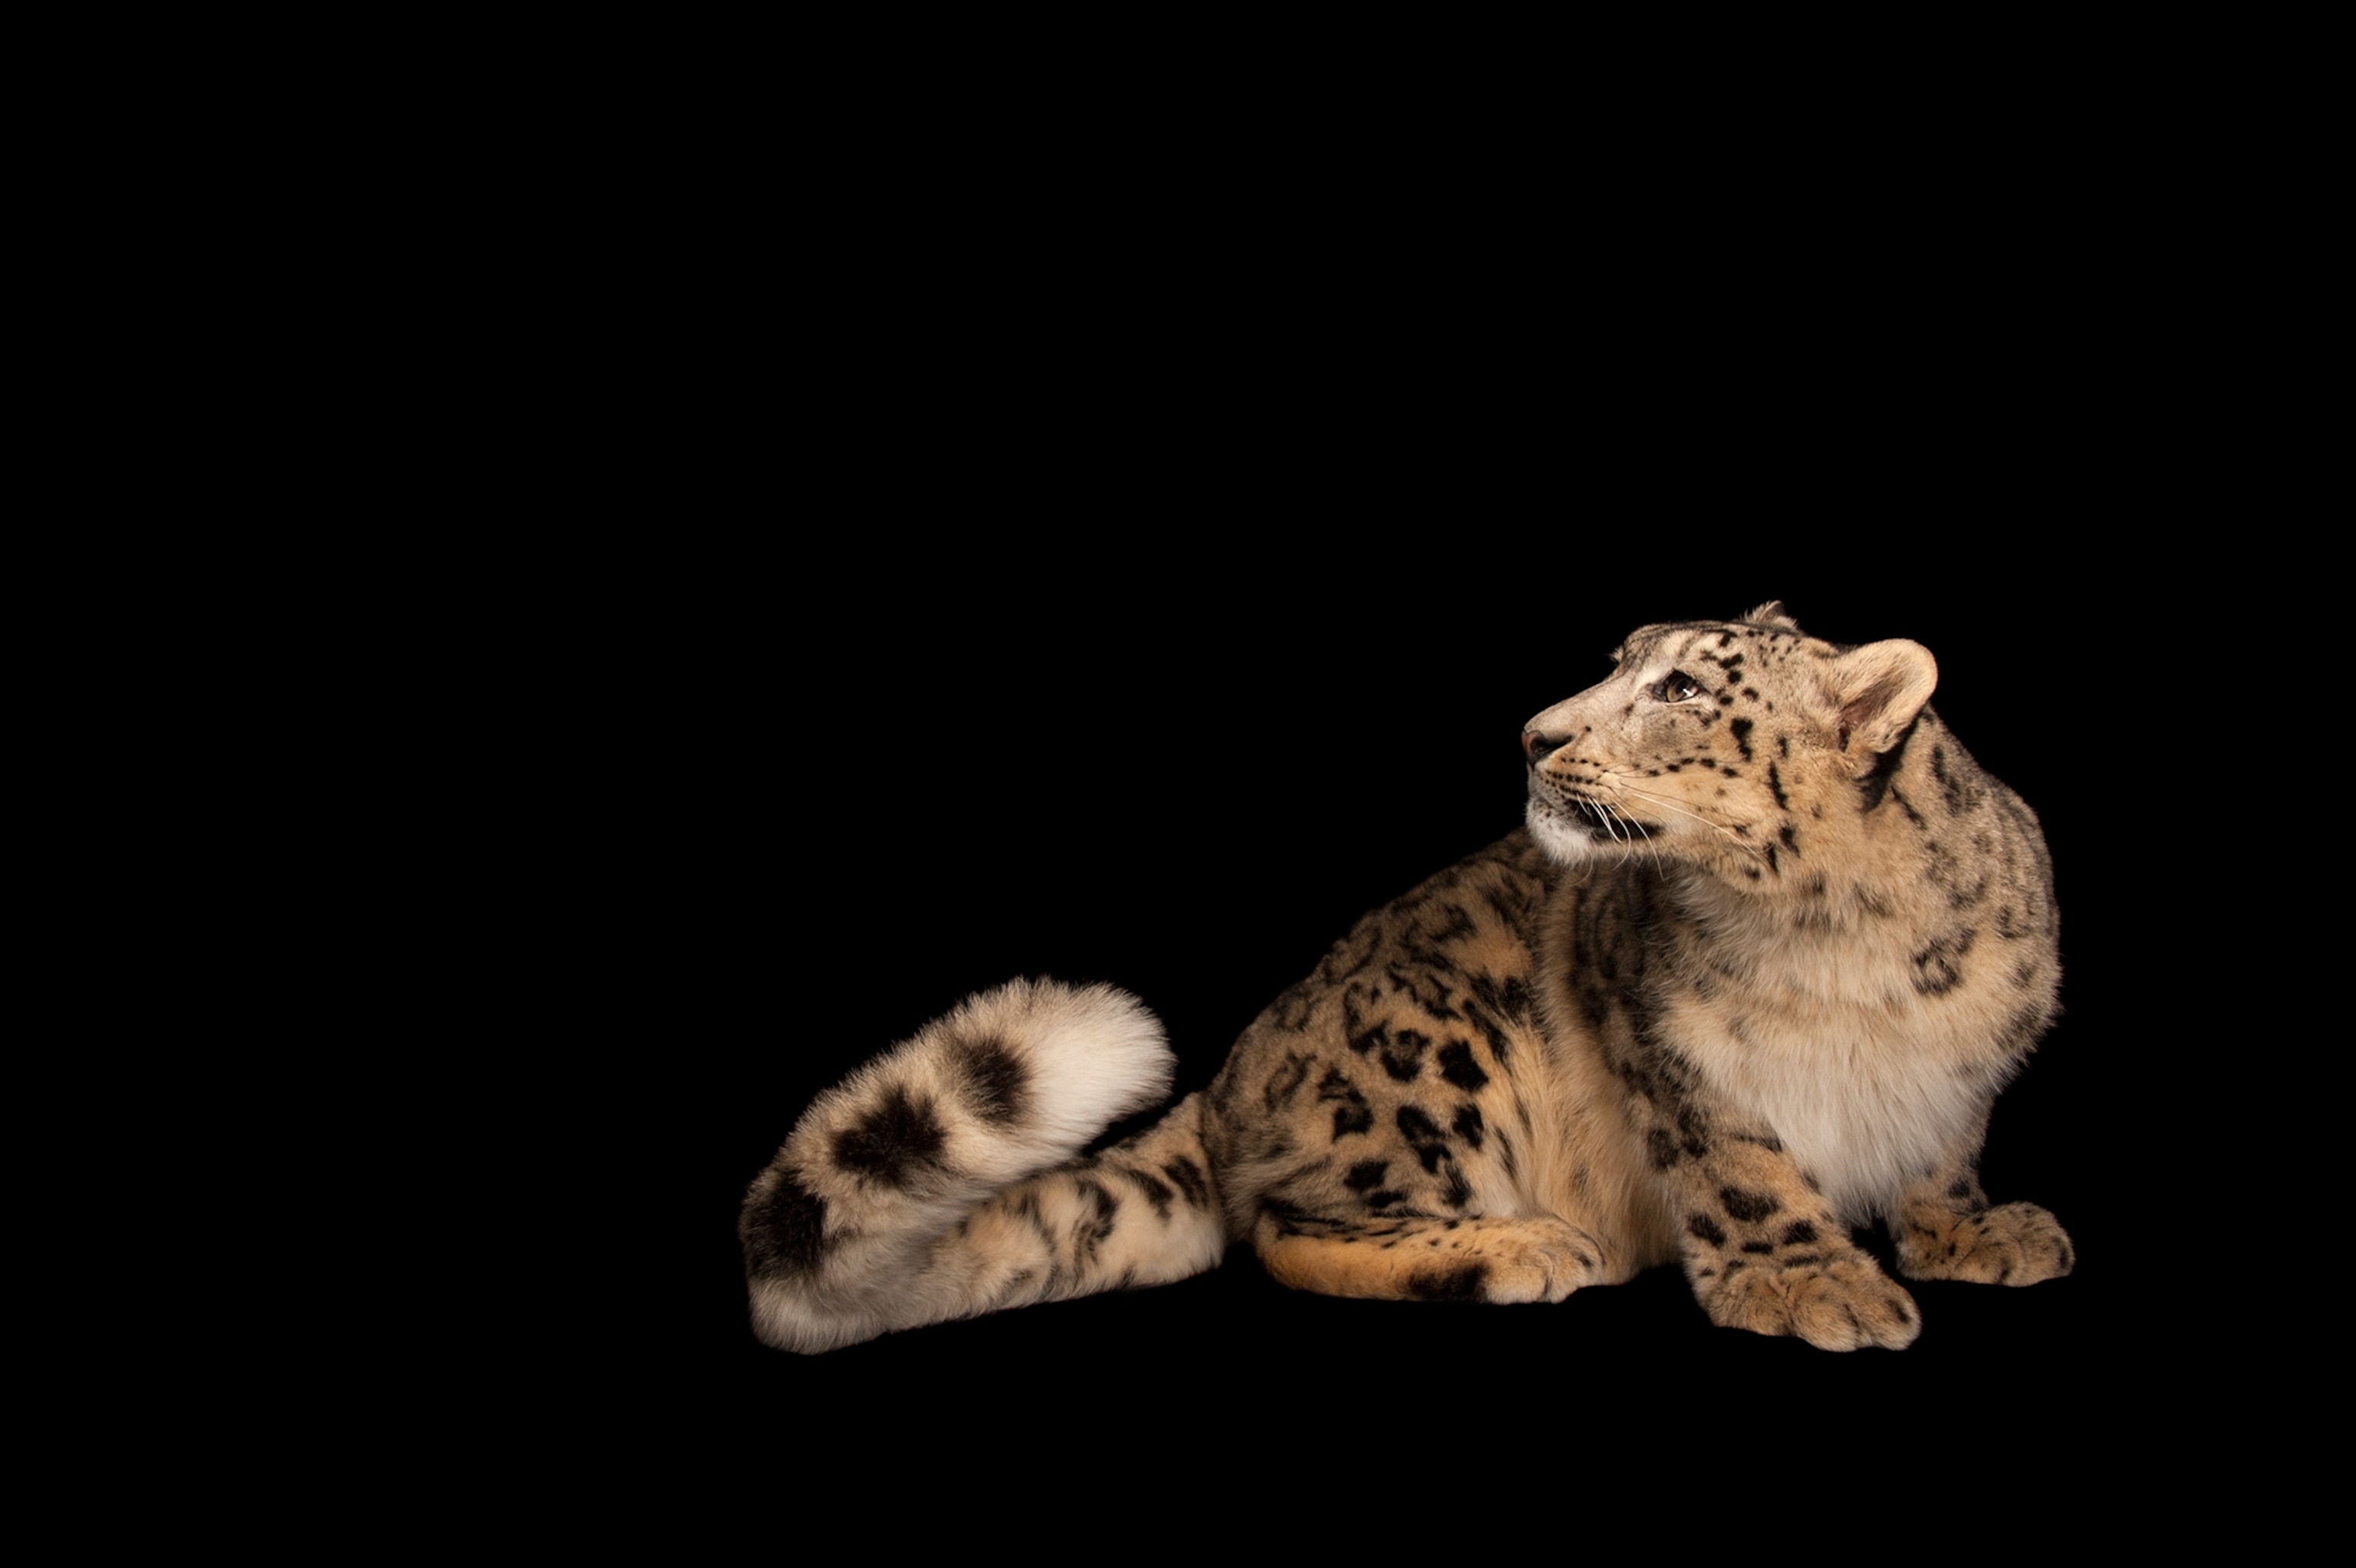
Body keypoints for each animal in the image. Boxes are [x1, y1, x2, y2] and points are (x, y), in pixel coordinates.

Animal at [741, 603, 2071, 1353]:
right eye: (1619, 663)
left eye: (1683, 688)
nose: (1535, 733)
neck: (1836, 943)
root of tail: (1232, 1082)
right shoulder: (1677, 1058)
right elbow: (1740, 1169)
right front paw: (1814, 1285)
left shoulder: (1976, 1059)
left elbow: (1944, 1149)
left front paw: (1976, 1230)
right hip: (1431, 1047)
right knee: (1288, 1227)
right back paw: (1520, 1247)